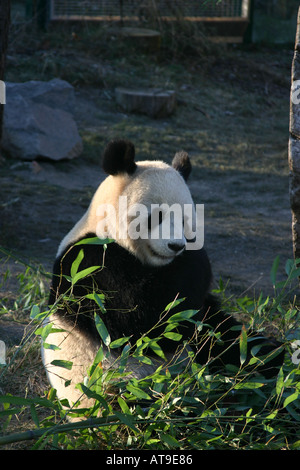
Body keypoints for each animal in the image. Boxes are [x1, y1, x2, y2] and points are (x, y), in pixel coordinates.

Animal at [41, 139, 284, 412]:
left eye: (185, 218)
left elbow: (204, 321)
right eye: (156, 216)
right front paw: (195, 256)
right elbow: (142, 315)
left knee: (237, 349)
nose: (176, 246)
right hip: (120, 389)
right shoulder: (90, 264)